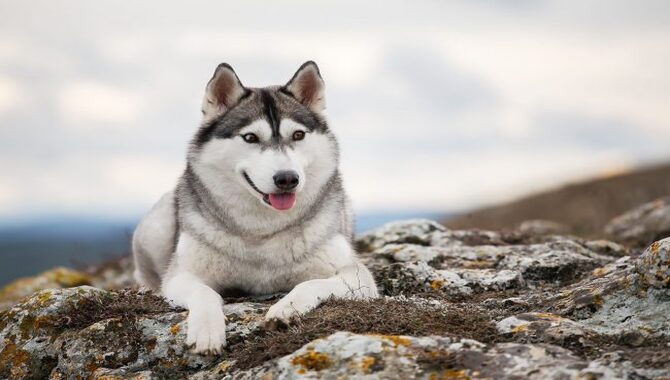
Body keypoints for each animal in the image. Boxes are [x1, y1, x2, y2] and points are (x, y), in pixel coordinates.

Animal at [133, 61, 378, 354]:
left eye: (298, 135)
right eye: (250, 137)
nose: (287, 178)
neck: (261, 231)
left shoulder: (358, 277)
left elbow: (311, 283)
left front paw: (286, 309)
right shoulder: (182, 276)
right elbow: (205, 292)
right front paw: (207, 331)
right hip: (157, 226)